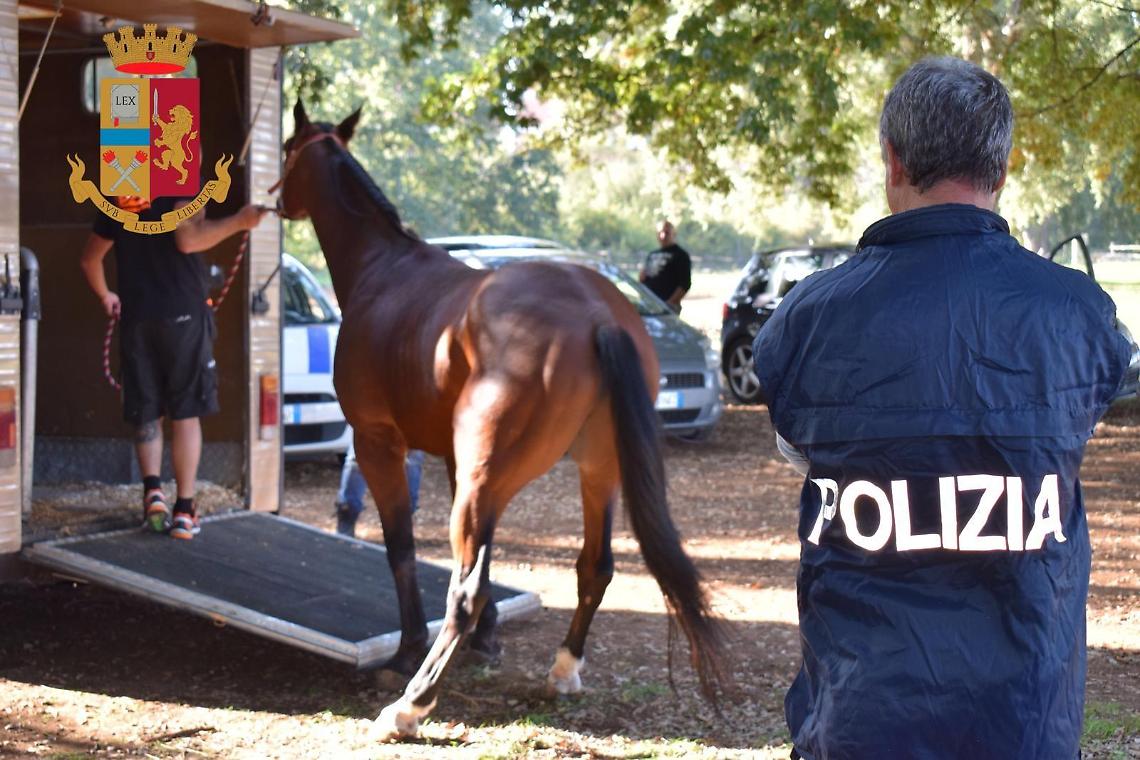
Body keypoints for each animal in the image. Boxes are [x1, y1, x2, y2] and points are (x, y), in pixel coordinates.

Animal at [276, 101, 727, 740]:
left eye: (287, 149)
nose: (275, 199)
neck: (384, 269)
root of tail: (596, 312)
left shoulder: (378, 443)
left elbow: (402, 549)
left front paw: (405, 652)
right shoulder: (450, 458)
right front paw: (488, 641)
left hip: (487, 476)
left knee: (466, 589)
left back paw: (411, 705)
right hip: (591, 470)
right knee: (594, 568)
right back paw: (562, 671)